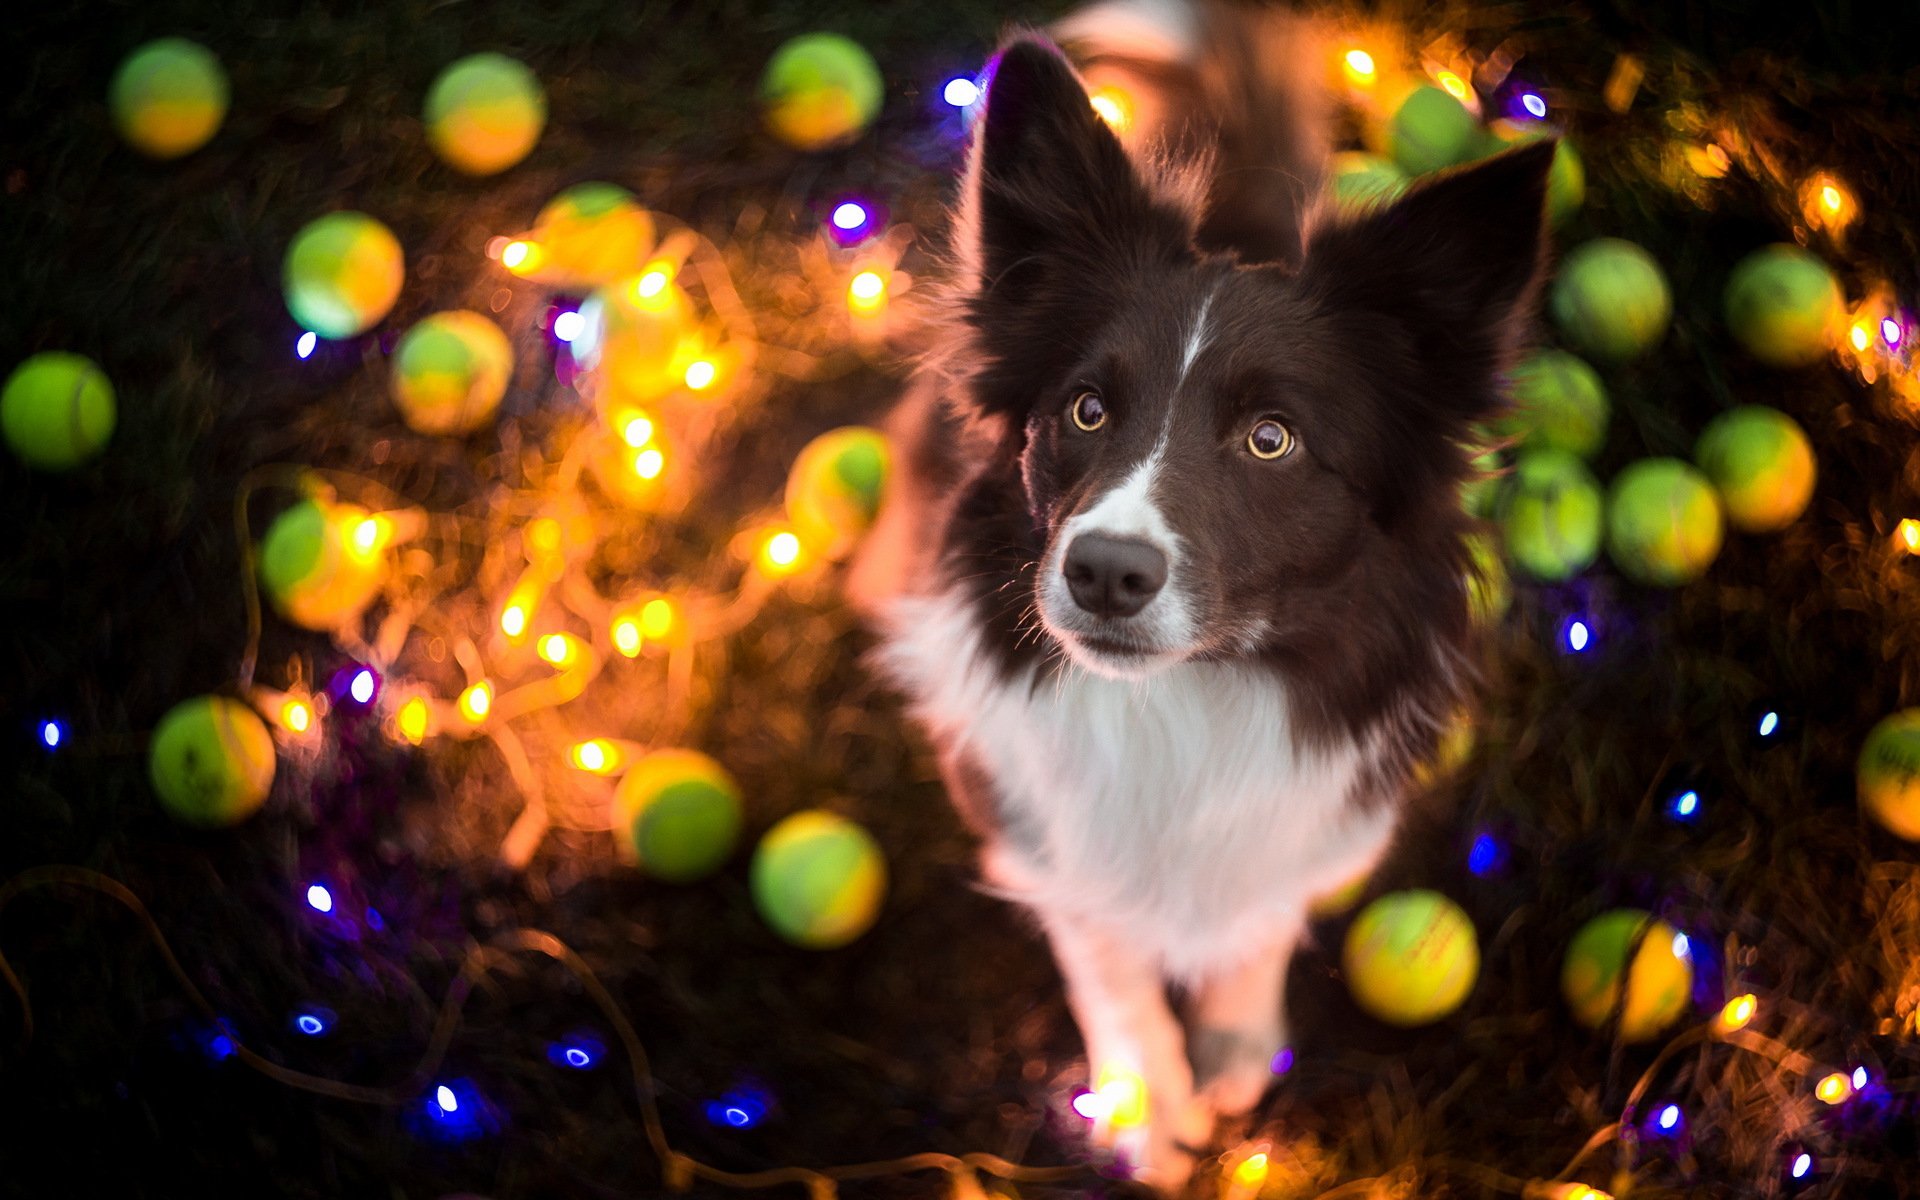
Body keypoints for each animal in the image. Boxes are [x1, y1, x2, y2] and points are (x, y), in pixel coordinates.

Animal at [852, 7, 1543, 1190]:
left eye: (1272, 439)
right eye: (1084, 408)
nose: (1103, 571)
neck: (1181, 704)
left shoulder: (1320, 816)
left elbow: (1260, 914)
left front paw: (1234, 1041)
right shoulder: (1027, 818)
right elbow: (1101, 944)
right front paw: (1143, 1099)